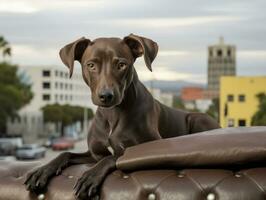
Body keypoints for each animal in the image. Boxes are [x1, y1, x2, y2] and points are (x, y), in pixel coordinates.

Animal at [24, 33, 220, 199]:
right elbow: (66, 153)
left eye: (121, 65)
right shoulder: (93, 154)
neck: (112, 114)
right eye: (91, 65)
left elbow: (115, 156)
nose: (106, 96)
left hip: (198, 118)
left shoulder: (150, 148)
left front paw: (90, 176)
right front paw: (42, 170)